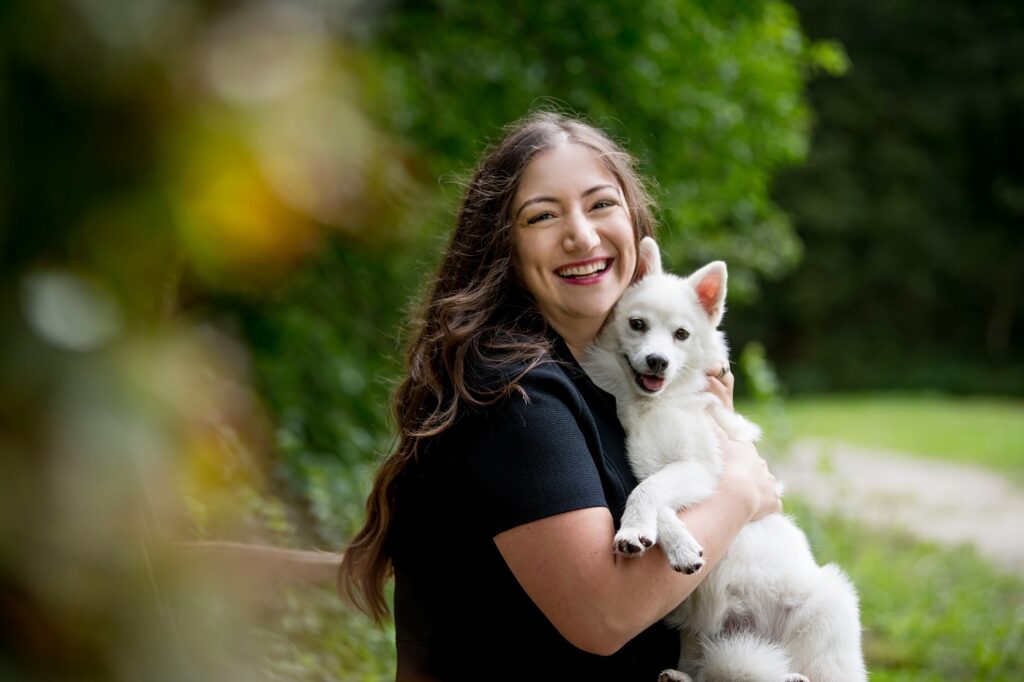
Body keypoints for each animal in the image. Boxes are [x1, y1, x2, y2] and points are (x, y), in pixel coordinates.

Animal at [585, 237, 864, 679]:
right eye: (637, 324)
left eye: (681, 334)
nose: (658, 361)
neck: (656, 403)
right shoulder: (656, 466)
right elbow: (652, 496)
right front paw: (675, 543)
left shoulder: (701, 468)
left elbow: (649, 493)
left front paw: (640, 532)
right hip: (701, 637)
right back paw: (680, 675)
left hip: (828, 607)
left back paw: (795, 675)